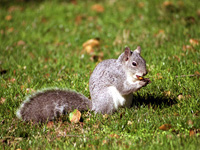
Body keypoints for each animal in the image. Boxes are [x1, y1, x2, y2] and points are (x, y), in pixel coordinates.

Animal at [16, 46, 150, 122]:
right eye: (134, 64)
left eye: (144, 60)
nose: (145, 72)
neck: (126, 71)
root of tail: (94, 106)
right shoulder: (116, 76)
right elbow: (123, 88)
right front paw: (141, 83)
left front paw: (145, 80)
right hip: (107, 98)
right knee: (104, 112)